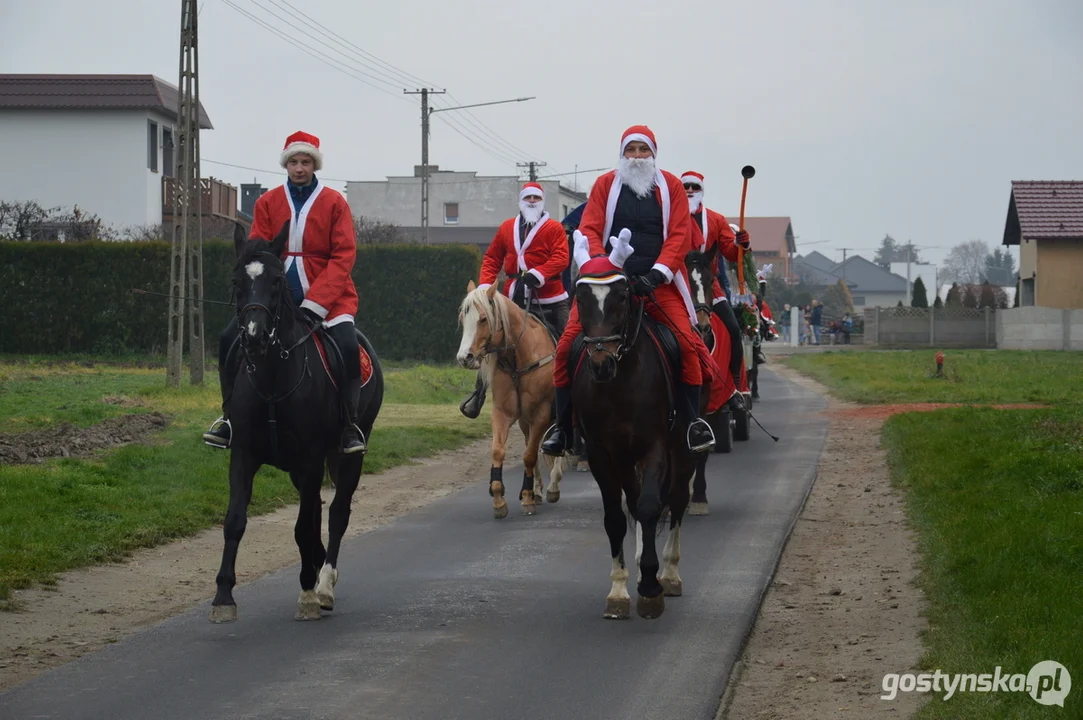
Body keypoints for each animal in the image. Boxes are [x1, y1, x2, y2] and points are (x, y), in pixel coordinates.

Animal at [209, 221, 383, 619]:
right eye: (237, 281)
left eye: (276, 280)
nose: (254, 337)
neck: (274, 378)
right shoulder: (244, 454)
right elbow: (235, 520)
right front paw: (223, 596)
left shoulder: (311, 459)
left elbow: (305, 526)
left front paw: (308, 592)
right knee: (318, 510)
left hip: (349, 454)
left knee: (336, 513)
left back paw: (324, 583)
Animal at [452, 279, 563, 517]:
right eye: (463, 319)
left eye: (484, 319)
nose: (464, 358)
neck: (518, 360)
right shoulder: (504, 413)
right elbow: (499, 451)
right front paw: (499, 497)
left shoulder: (541, 414)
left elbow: (529, 455)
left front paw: (527, 498)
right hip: (525, 421)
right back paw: (537, 490)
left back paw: (552, 487)